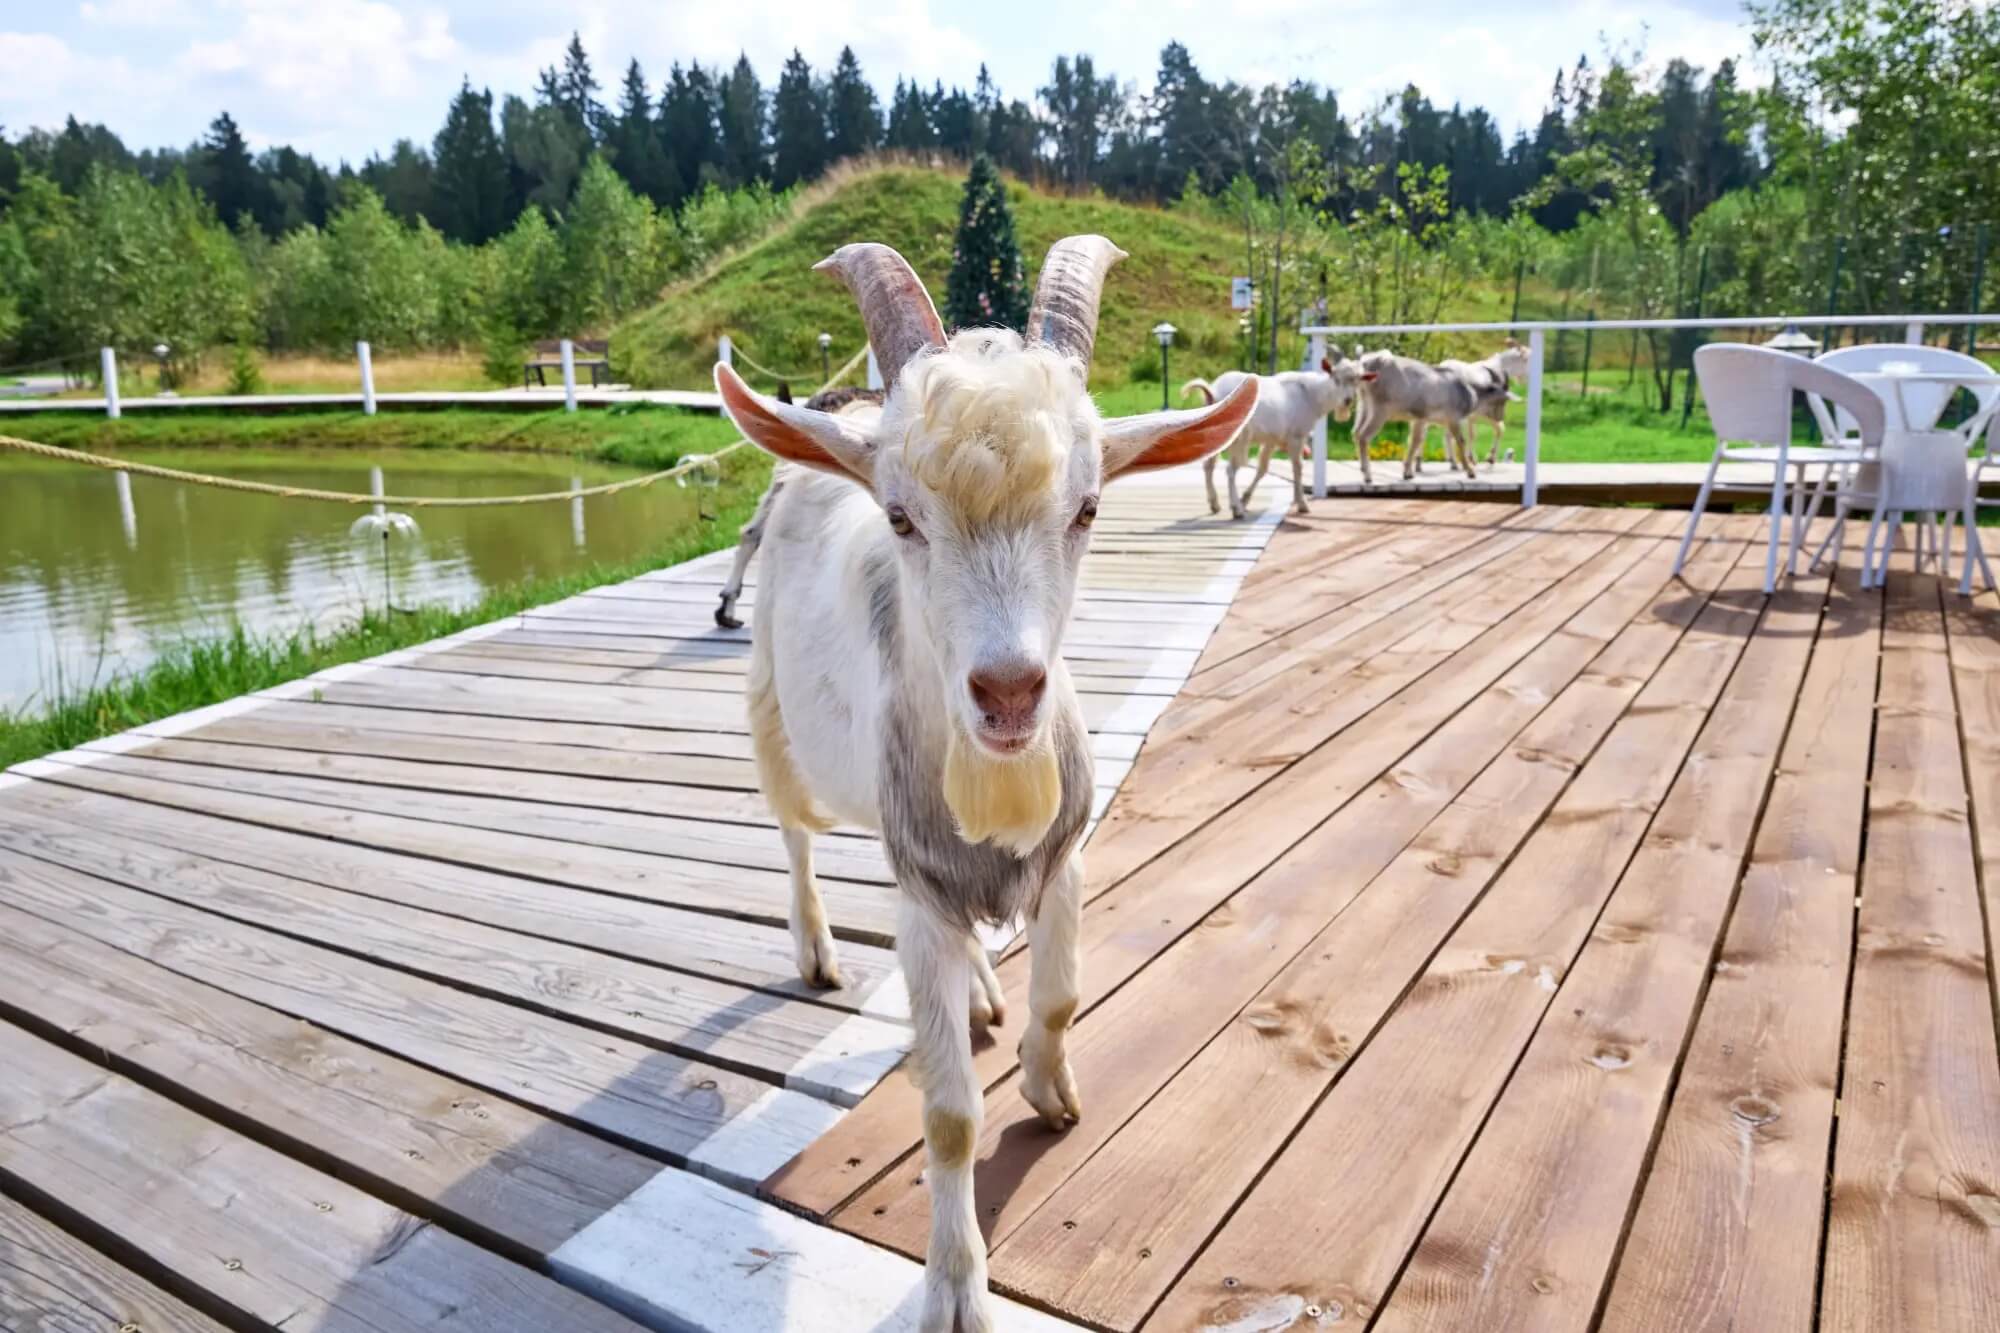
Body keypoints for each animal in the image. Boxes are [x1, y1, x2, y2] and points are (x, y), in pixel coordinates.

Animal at [1180, 352, 1373, 519]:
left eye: (1357, 380)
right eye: (1335, 378)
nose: (1347, 400)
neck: (1312, 395)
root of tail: (1212, 392)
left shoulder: (1272, 439)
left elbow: (1263, 468)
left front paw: (1246, 498)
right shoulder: (1297, 435)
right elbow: (1298, 467)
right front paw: (1302, 504)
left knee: (1209, 465)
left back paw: (1216, 504)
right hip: (1239, 437)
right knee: (1231, 469)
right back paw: (1237, 509)